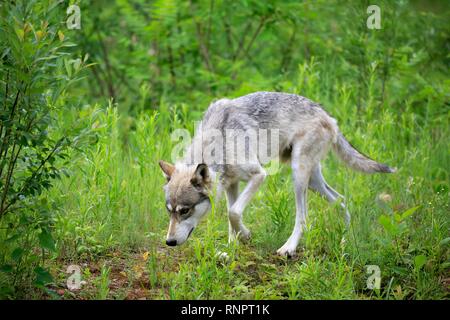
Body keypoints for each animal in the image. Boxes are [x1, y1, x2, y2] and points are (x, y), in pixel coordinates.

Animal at [157, 91, 394, 256]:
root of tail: (327, 115)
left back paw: (288, 248)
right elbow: (231, 217)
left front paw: (246, 235)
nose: (169, 242)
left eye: (184, 210)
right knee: (341, 200)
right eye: (169, 211)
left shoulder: (258, 175)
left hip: (298, 177)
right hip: (312, 181)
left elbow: (233, 213)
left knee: (304, 217)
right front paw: (232, 248)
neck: (219, 143)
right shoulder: (231, 184)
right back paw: (345, 241)